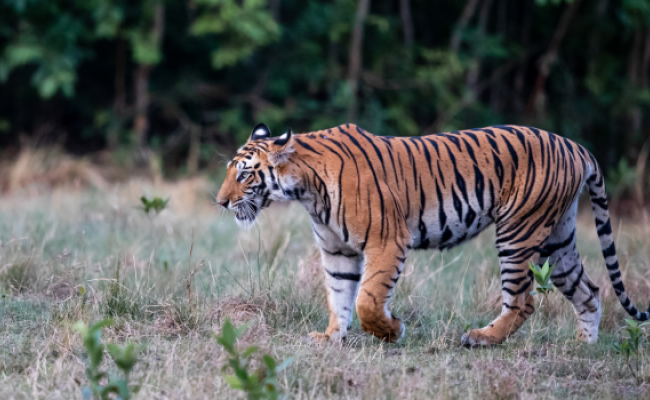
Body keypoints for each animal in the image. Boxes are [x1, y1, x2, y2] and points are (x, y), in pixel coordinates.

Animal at [215, 123, 649, 346]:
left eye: (244, 175)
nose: (219, 202)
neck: (306, 189)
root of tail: (576, 146)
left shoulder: (387, 242)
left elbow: (367, 300)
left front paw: (392, 331)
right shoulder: (338, 251)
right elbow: (339, 297)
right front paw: (331, 337)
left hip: (517, 233)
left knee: (523, 301)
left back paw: (480, 337)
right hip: (557, 240)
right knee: (589, 291)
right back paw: (582, 346)